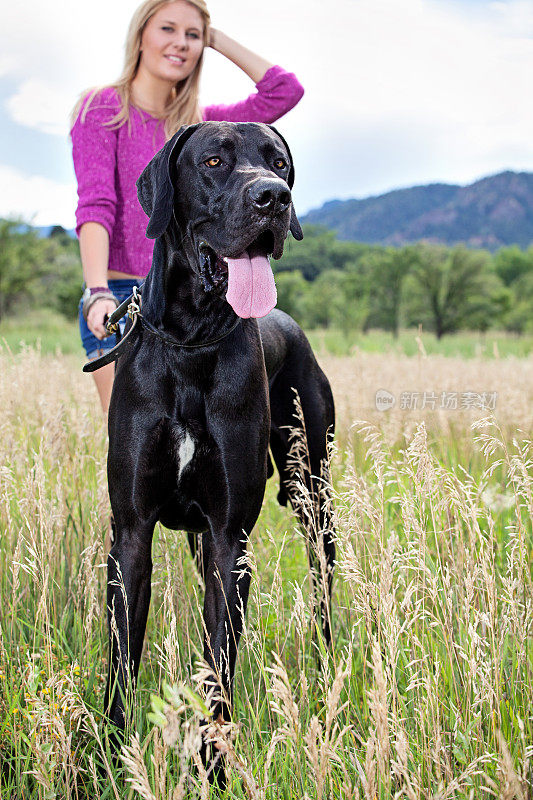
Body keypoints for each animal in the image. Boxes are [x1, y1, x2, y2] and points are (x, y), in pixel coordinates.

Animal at [100, 122, 332, 780]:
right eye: (212, 162)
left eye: (279, 164)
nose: (273, 198)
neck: (192, 341)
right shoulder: (131, 532)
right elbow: (122, 660)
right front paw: (109, 759)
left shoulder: (232, 538)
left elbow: (219, 669)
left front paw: (213, 767)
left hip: (314, 494)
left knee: (324, 586)